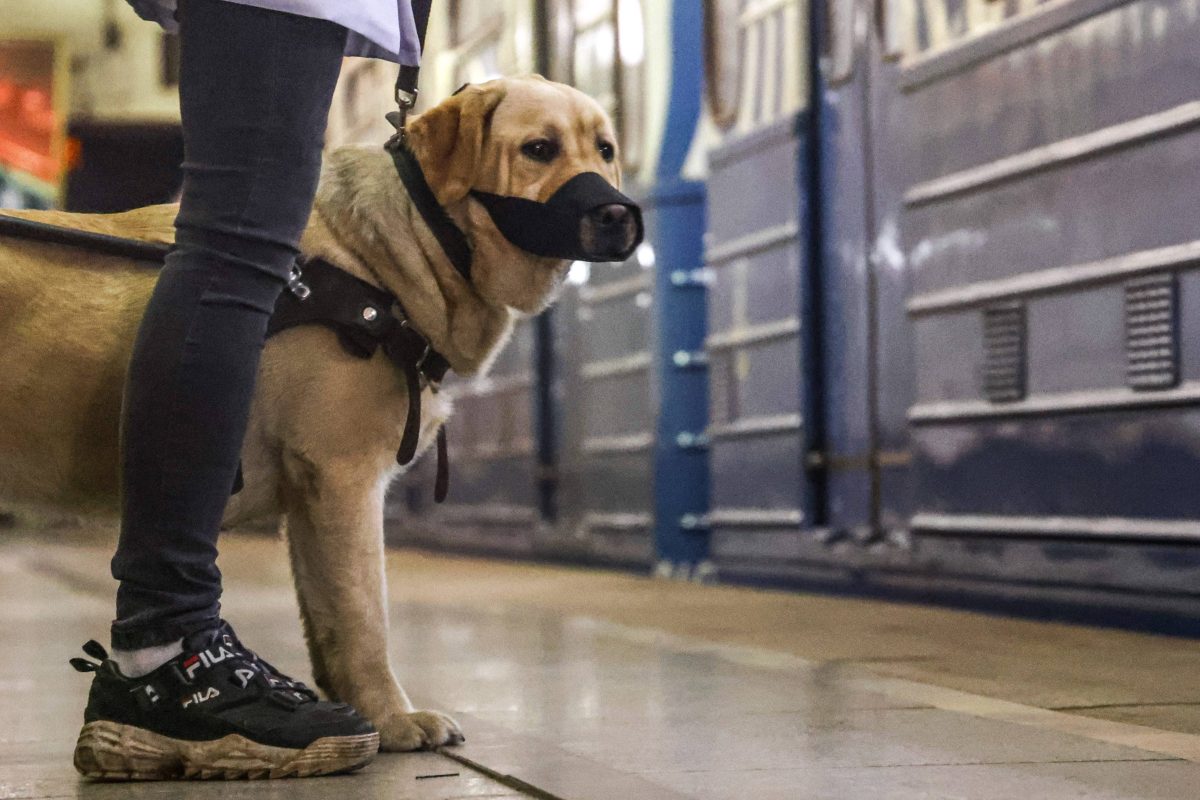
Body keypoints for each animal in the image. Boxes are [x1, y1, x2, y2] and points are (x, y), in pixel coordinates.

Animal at [0, 74, 638, 753]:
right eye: (539, 149)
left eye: (605, 149)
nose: (618, 214)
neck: (396, 250)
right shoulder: (342, 477)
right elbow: (364, 618)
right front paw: (393, 720)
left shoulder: (310, 503)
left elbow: (330, 625)